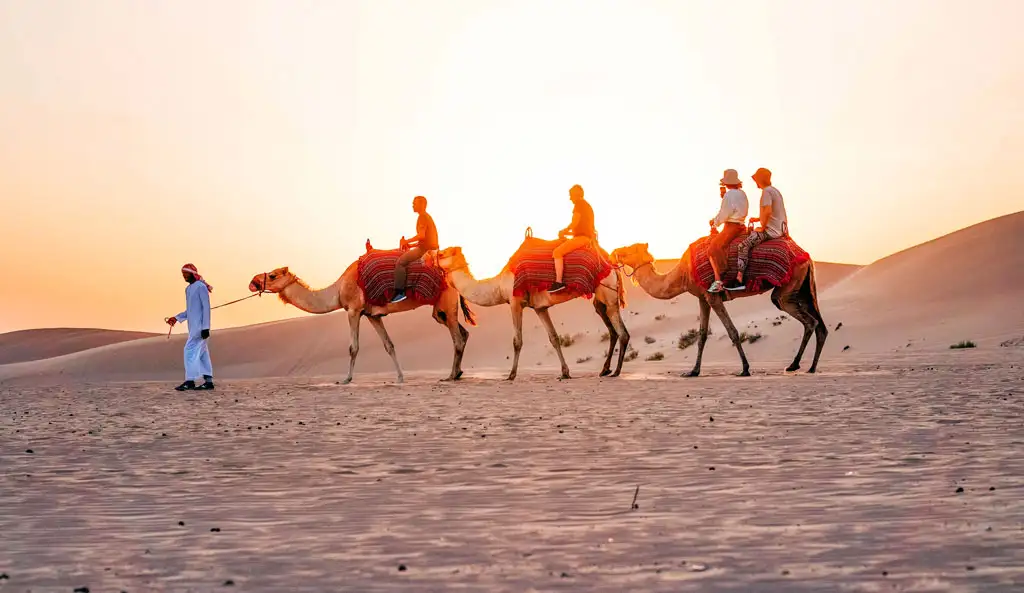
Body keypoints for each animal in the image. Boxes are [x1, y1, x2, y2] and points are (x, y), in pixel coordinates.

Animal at [248, 261, 475, 384]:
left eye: (272, 275)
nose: (253, 282)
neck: (337, 291)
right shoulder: (372, 315)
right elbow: (389, 345)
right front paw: (400, 378)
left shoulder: (353, 310)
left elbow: (353, 347)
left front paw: (346, 379)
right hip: (441, 309)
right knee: (462, 333)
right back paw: (458, 373)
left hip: (445, 301)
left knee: (457, 338)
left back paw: (451, 376)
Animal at [435, 245, 629, 380]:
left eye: (442, 254)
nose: (431, 256)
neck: (498, 286)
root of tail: (613, 266)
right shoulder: (540, 308)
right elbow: (554, 338)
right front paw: (565, 373)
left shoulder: (514, 302)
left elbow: (517, 341)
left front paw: (511, 375)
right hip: (601, 300)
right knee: (612, 330)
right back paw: (605, 370)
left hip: (608, 295)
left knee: (622, 333)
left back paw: (616, 371)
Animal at [610, 242, 827, 376]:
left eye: (630, 248)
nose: (614, 252)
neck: (683, 274)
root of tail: (807, 257)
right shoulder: (703, 298)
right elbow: (702, 335)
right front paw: (693, 371)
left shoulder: (713, 296)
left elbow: (732, 331)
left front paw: (745, 368)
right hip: (803, 287)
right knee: (819, 325)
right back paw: (811, 367)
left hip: (788, 287)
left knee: (809, 321)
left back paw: (795, 365)